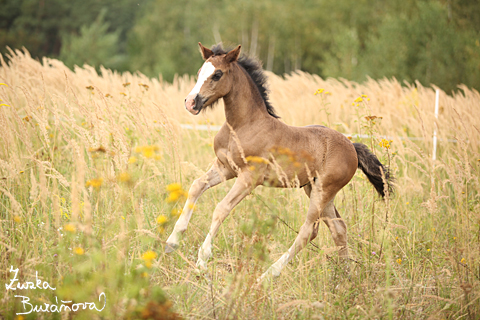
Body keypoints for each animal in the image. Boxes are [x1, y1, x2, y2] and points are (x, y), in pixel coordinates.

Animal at [165, 43, 394, 280]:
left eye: (217, 74)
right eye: (200, 72)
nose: (191, 102)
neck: (242, 125)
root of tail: (352, 147)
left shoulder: (249, 177)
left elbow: (221, 208)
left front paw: (202, 260)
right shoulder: (225, 167)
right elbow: (196, 186)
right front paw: (172, 242)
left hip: (324, 190)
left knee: (308, 230)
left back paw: (268, 275)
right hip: (315, 189)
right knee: (338, 228)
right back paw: (345, 275)